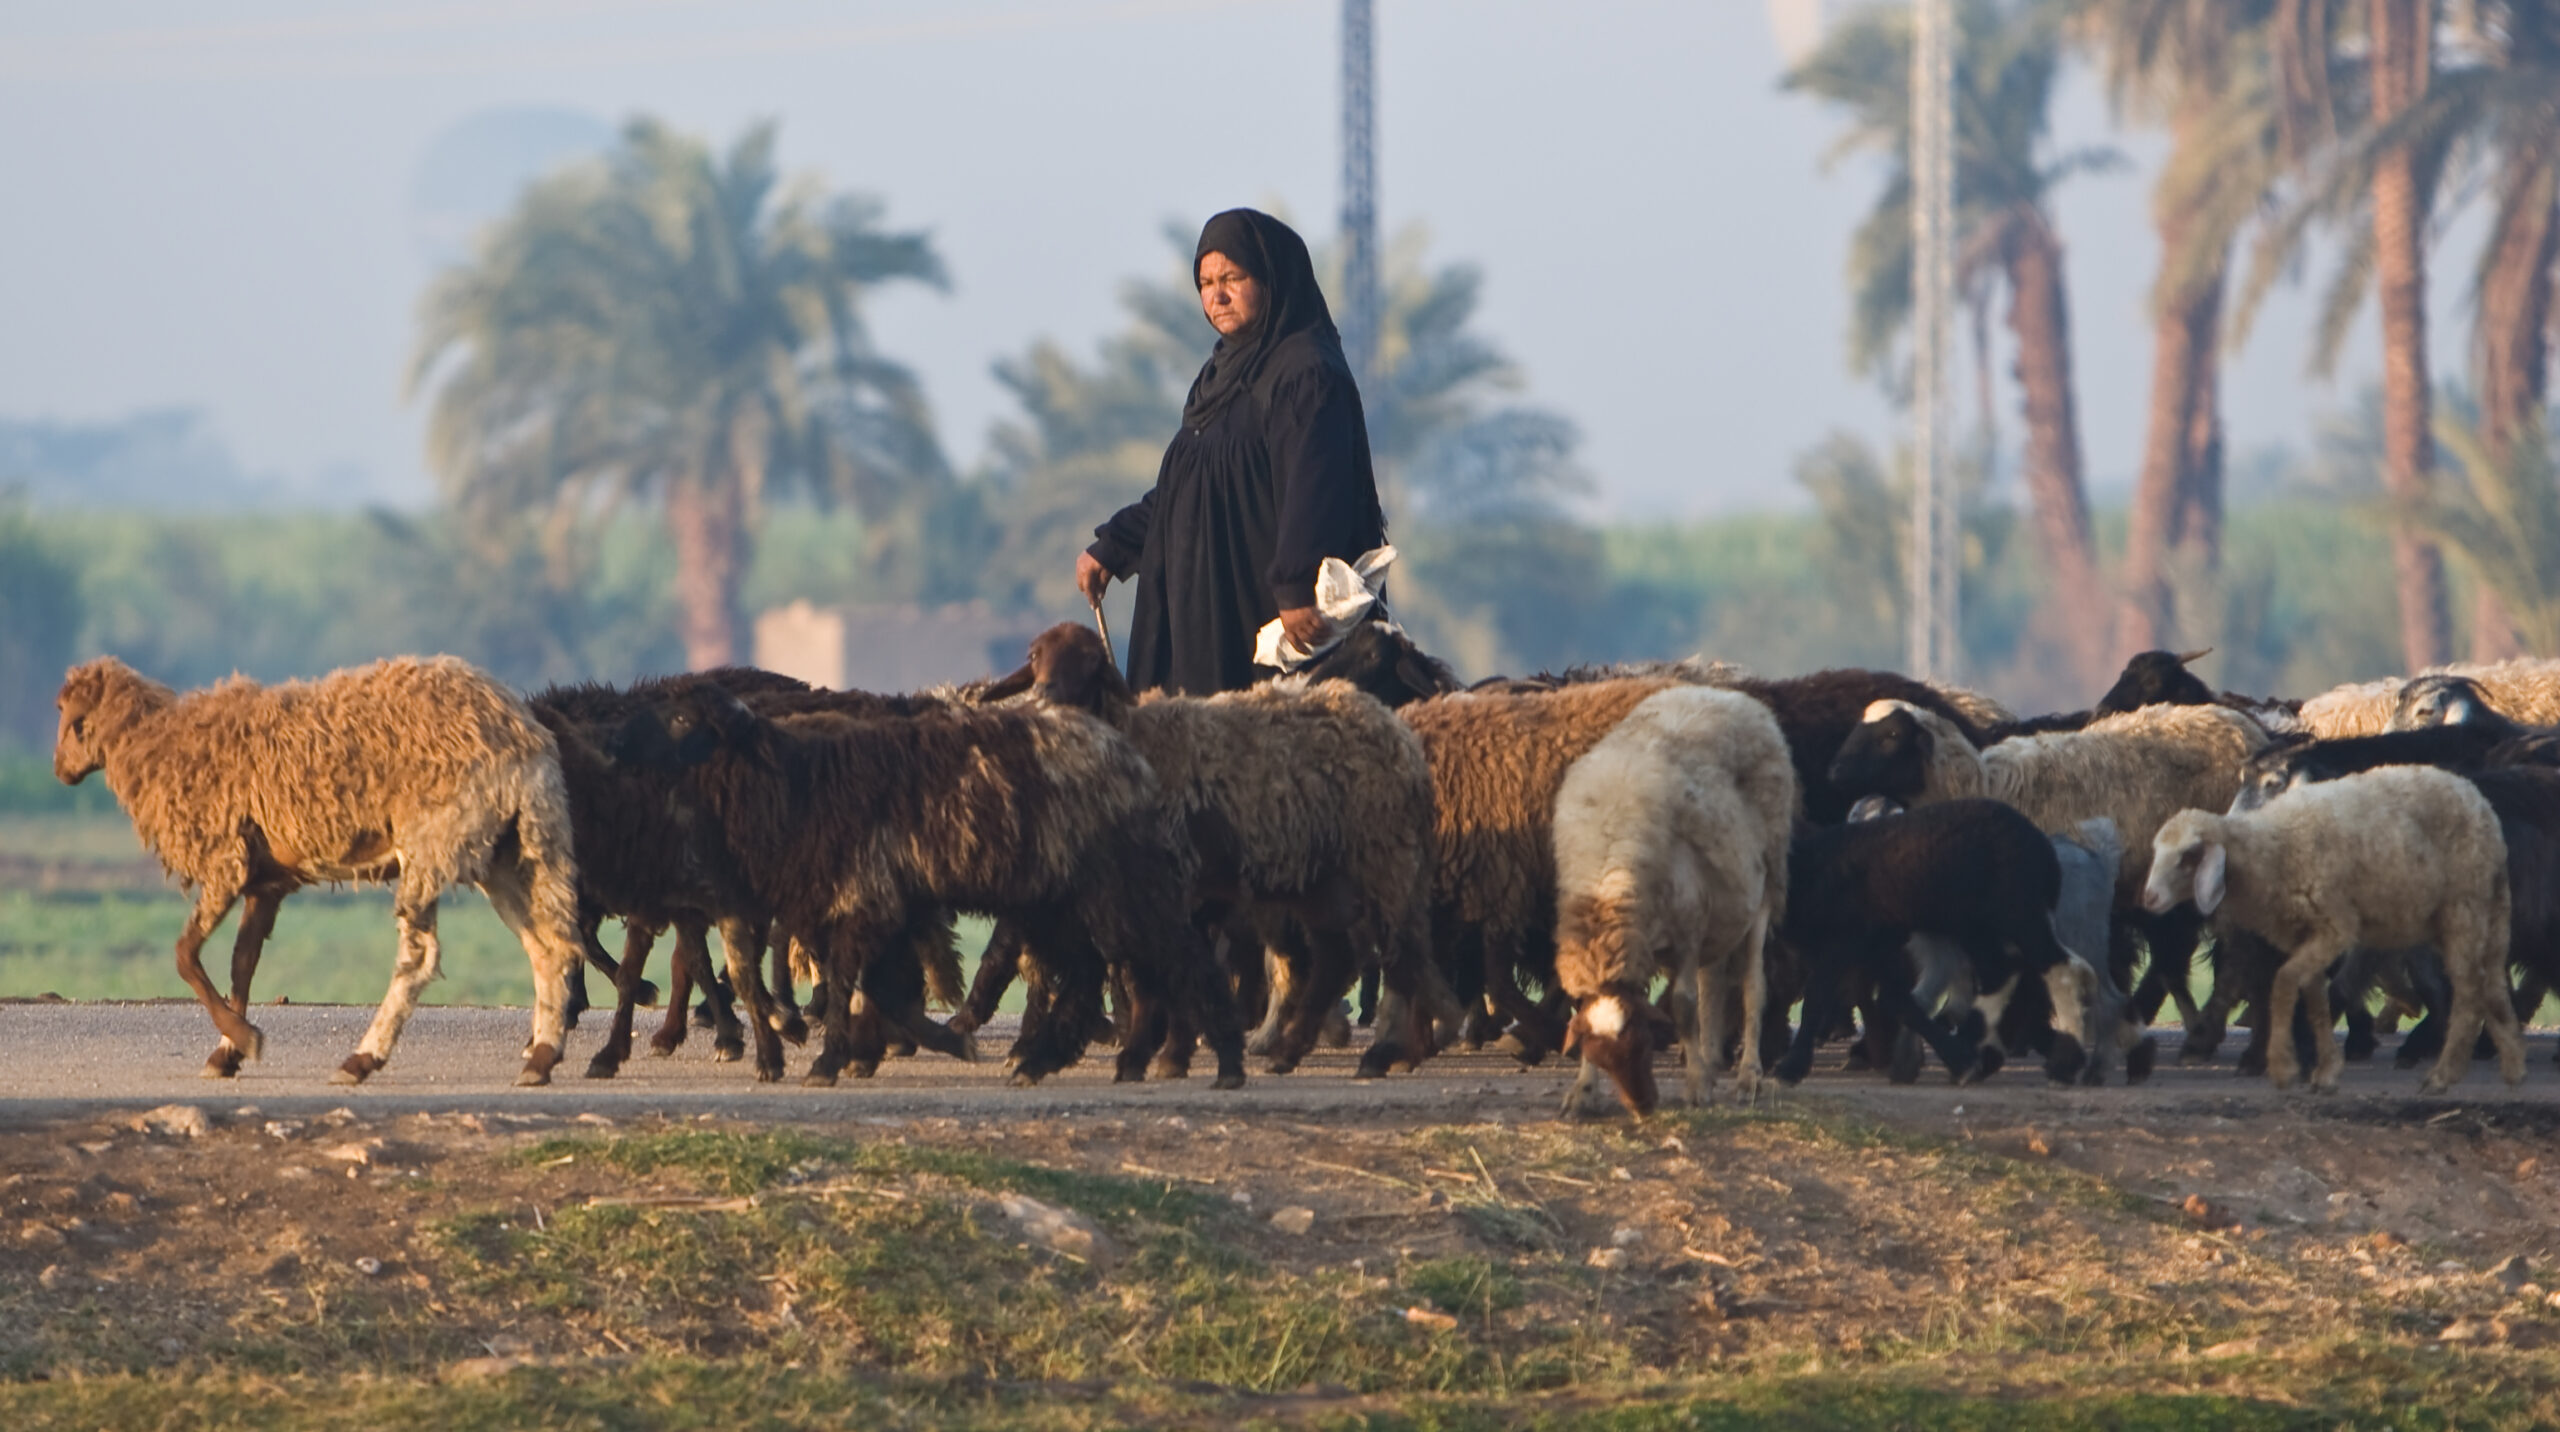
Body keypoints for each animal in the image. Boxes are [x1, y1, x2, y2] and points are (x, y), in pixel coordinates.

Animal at [55, 660, 586, 1086]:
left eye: (69, 718)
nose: (59, 770)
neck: (158, 743)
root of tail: (523, 738)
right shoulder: (266, 882)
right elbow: (242, 964)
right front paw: (228, 1052)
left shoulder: (227, 860)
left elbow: (186, 955)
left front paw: (245, 1039)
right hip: (513, 850)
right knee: (550, 947)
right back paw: (540, 1059)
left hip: (434, 840)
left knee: (419, 959)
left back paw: (361, 1060)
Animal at [1546, 686, 1792, 1122]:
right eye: (1603, 1059)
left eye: (1644, 1044)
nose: (1644, 1108)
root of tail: (1725, 694)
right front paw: (1583, 1092)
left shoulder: (1688, 931)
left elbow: (1683, 1006)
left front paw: (1696, 1088)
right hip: (1722, 911)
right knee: (1714, 984)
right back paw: (1710, 1061)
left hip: (1765, 887)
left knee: (1752, 986)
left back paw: (1747, 1077)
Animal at [2140, 773, 2519, 1096]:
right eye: (2157, 851)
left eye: (2187, 857)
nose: (2149, 898)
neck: (2273, 848)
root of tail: (2480, 802)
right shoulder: (2306, 935)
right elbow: (2315, 999)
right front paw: (2325, 1073)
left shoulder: (2334, 928)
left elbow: (2284, 983)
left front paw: (2283, 1067)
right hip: (2471, 911)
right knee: (2491, 983)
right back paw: (2512, 1065)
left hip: (2463, 906)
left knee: (2469, 989)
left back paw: (2443, 1075)